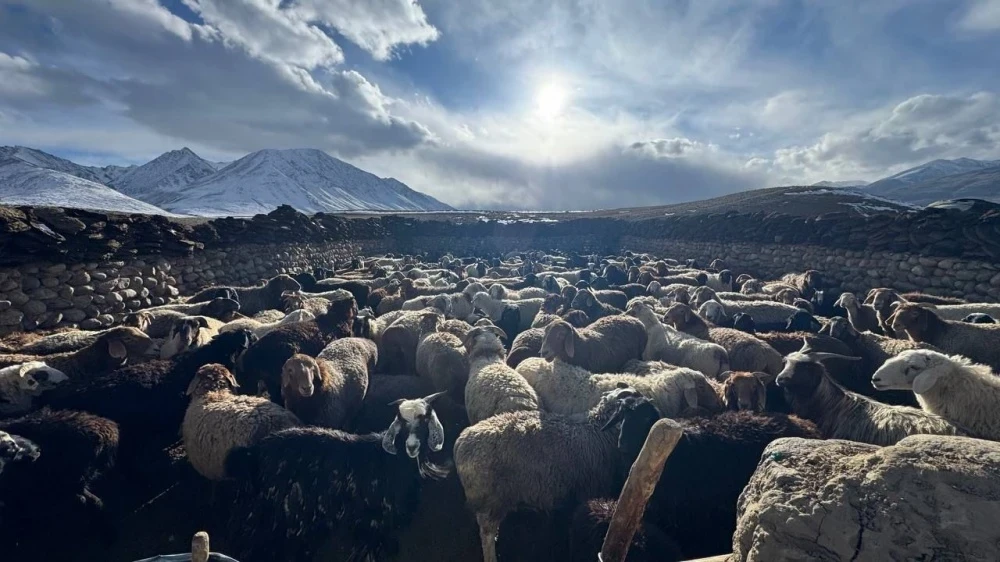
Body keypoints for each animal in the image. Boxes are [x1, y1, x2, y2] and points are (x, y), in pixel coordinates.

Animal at [225, 392, 454, 562]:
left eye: (425, 420)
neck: (391, 461)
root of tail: (254, 452)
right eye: (401, 422)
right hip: (275, 516)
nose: (412, 446)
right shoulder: (372, 522)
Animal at [455, 388, 661, 562]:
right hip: (491, 499)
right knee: (487, 533)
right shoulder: (588, 490)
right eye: (638, 414)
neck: (598, 429)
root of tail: (461, 443)